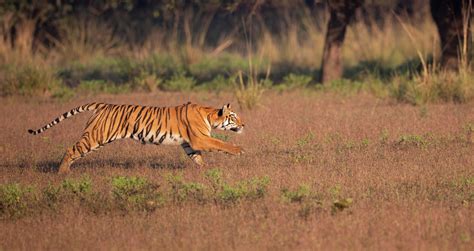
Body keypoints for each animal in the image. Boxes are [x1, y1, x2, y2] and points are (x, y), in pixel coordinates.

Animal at [27, 102, 244, 175]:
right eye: (234, 117)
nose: (244, 125)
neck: (209, 115)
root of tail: (102, 105)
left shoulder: (189, 144)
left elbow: (198, 158)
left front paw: (205, 171)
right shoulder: (200, 139)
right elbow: (220, 143)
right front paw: (239, 150)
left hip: (95, 140)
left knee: (75, 152)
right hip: (96, 137)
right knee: (71, 150)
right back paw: (62, 173)